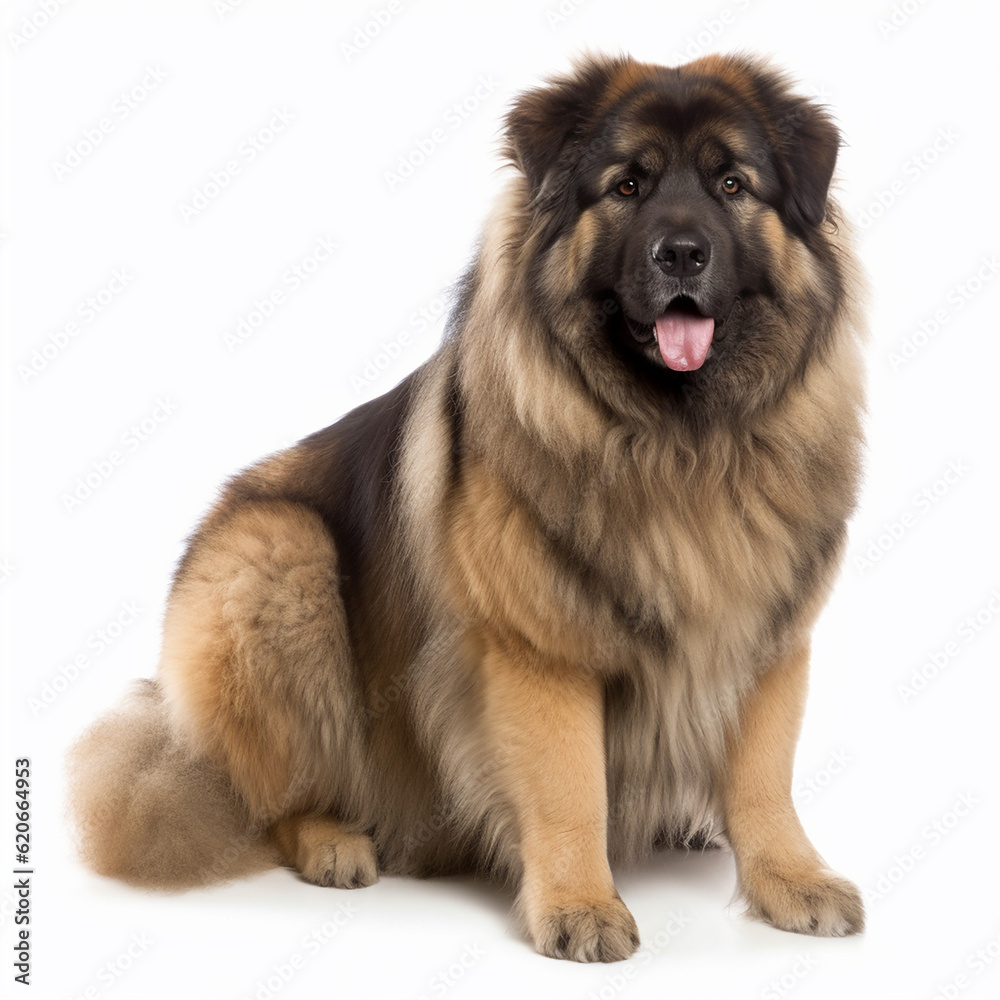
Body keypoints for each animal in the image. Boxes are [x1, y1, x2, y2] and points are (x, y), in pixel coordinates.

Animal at [70, 52, 868, 960]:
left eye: (733, 183)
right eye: (627, 185)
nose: (682, 254)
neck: (677, 444)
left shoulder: (767, 635)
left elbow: (765, 780)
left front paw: (791, 879)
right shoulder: (542, 652)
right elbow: (569, 786)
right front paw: (580, 904)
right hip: (277, 551)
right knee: (267, 795)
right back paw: (332, 840)